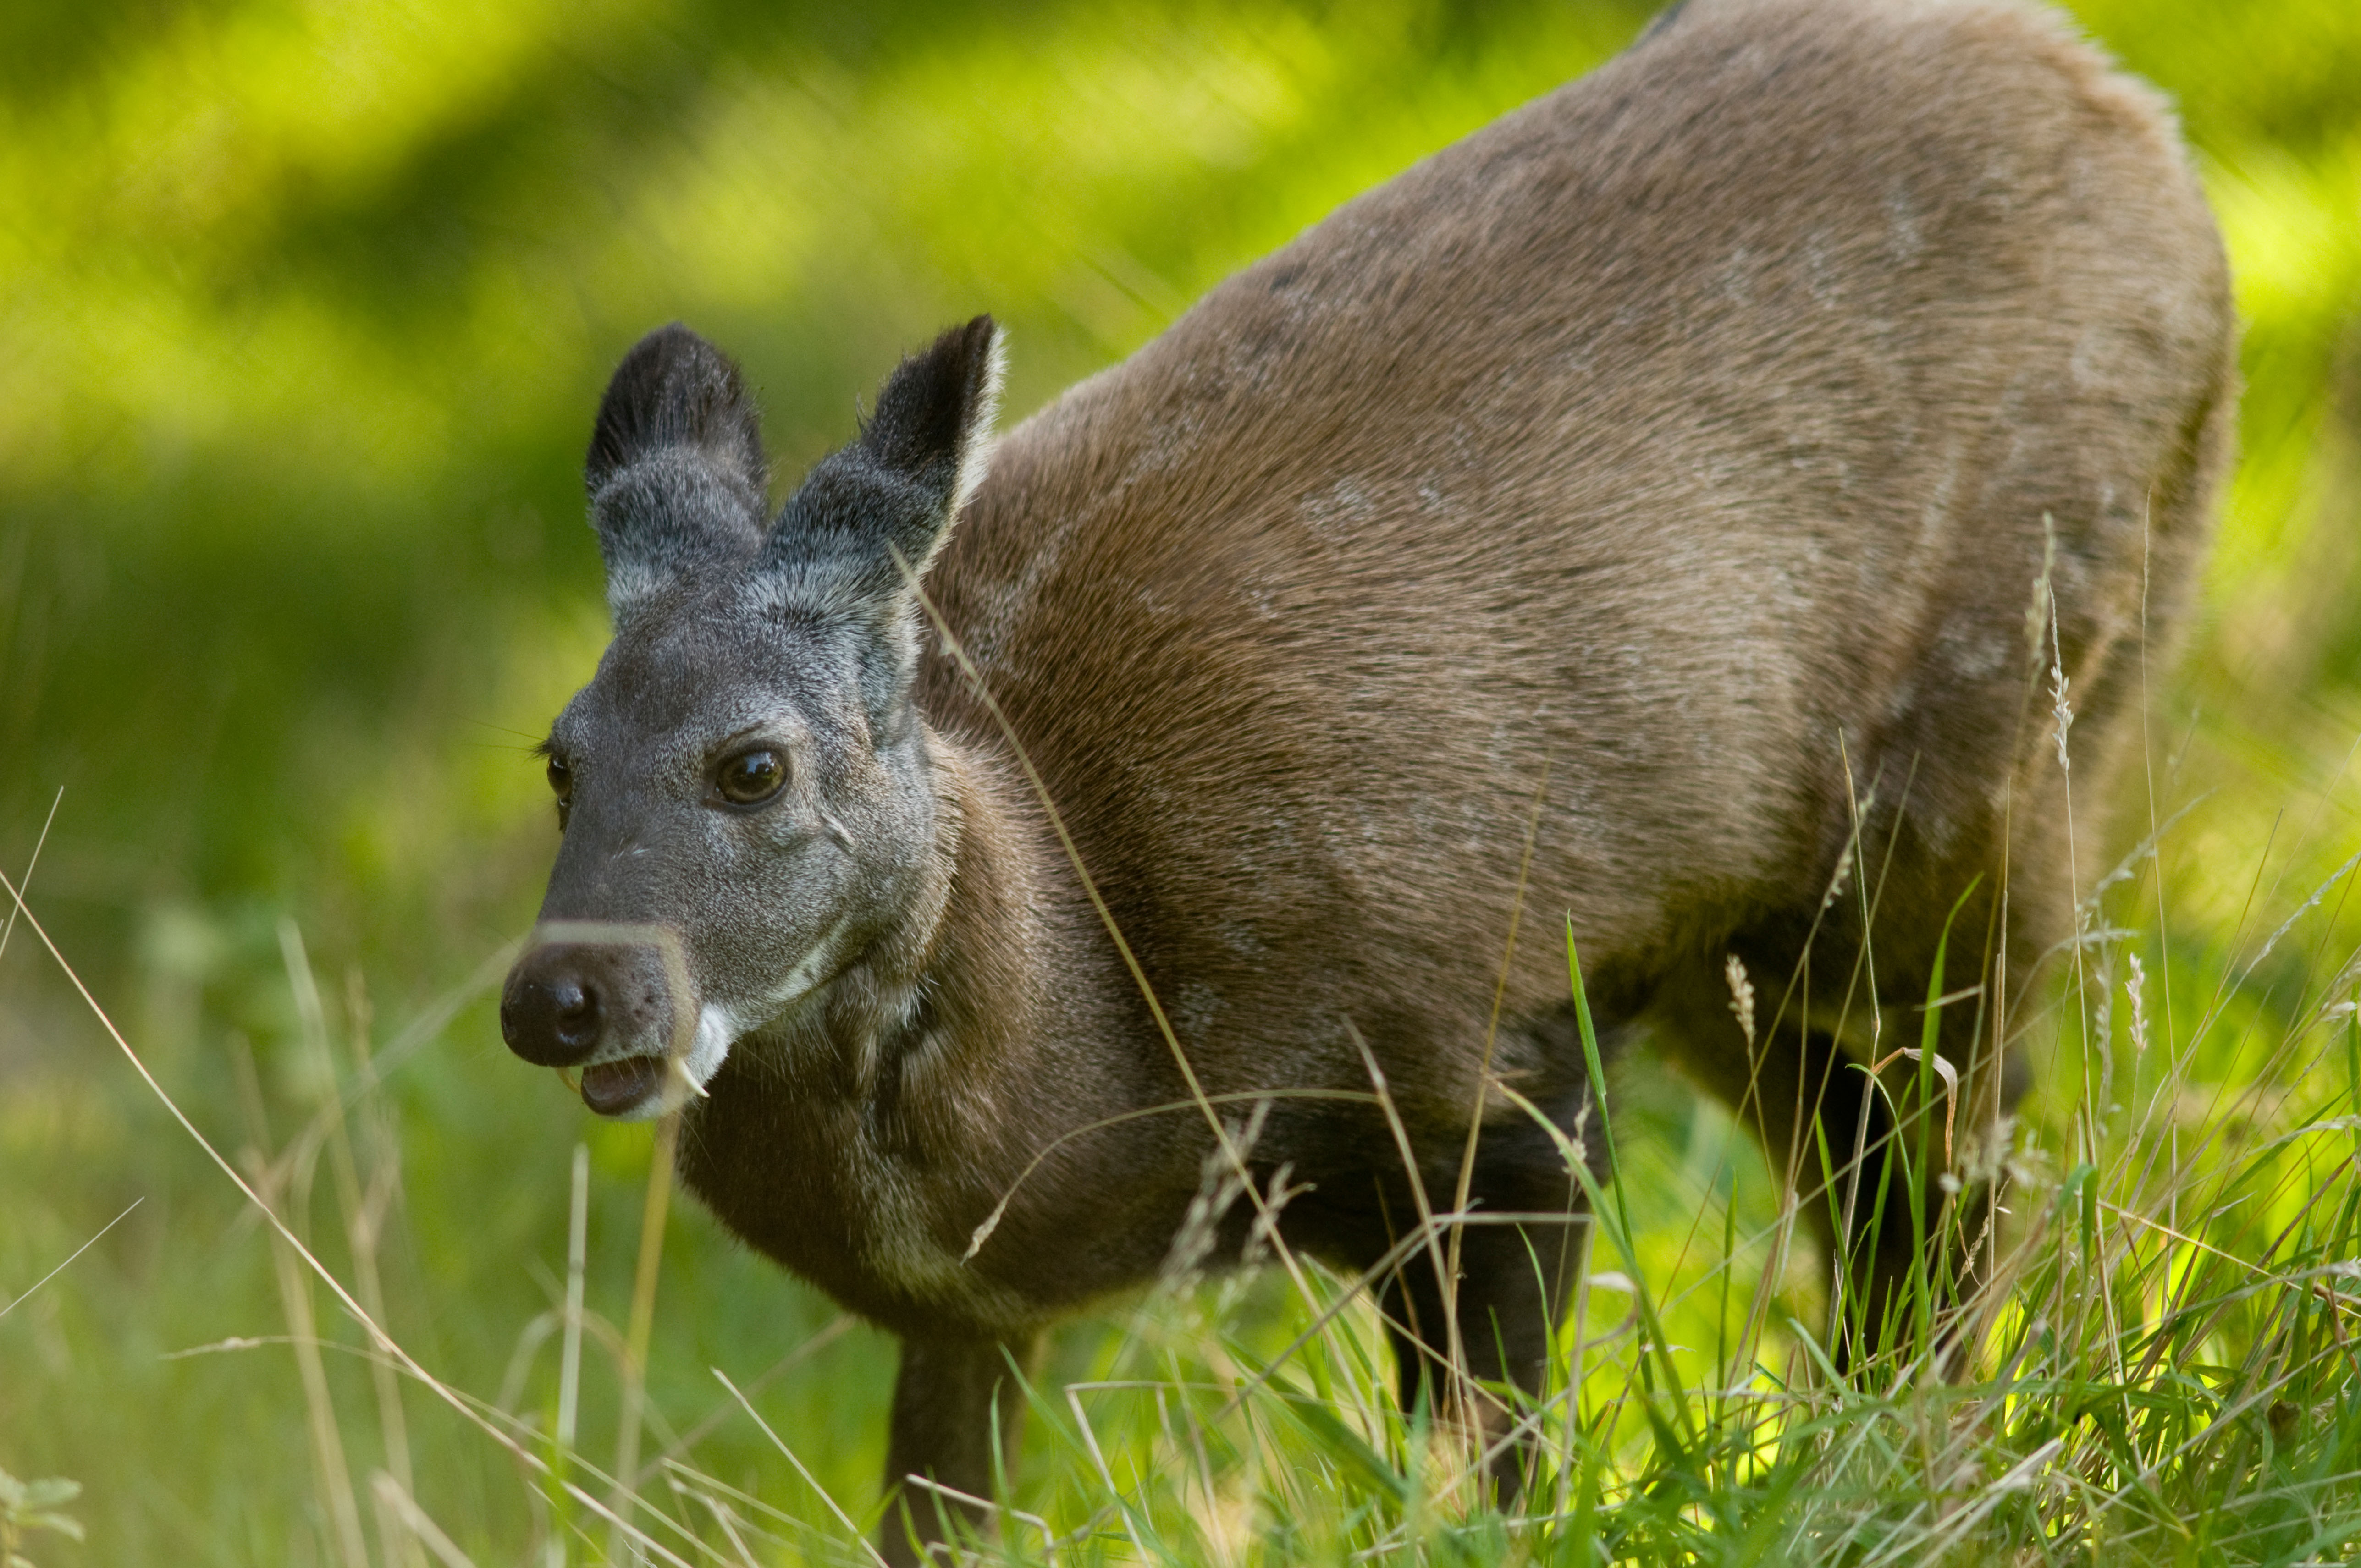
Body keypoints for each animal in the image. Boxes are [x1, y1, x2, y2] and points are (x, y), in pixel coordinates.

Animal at [493, 0, 2229, 1549]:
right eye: (559, 760)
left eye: (753, 764)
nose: (561, 998)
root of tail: (2139, 114)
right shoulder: (969, 1319)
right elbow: (935, 1518)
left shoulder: (1492, 1067)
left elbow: (1500, 1471)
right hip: (1737, 930)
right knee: (1877, 1186)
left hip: (1999, 746)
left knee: (1974, 1156)